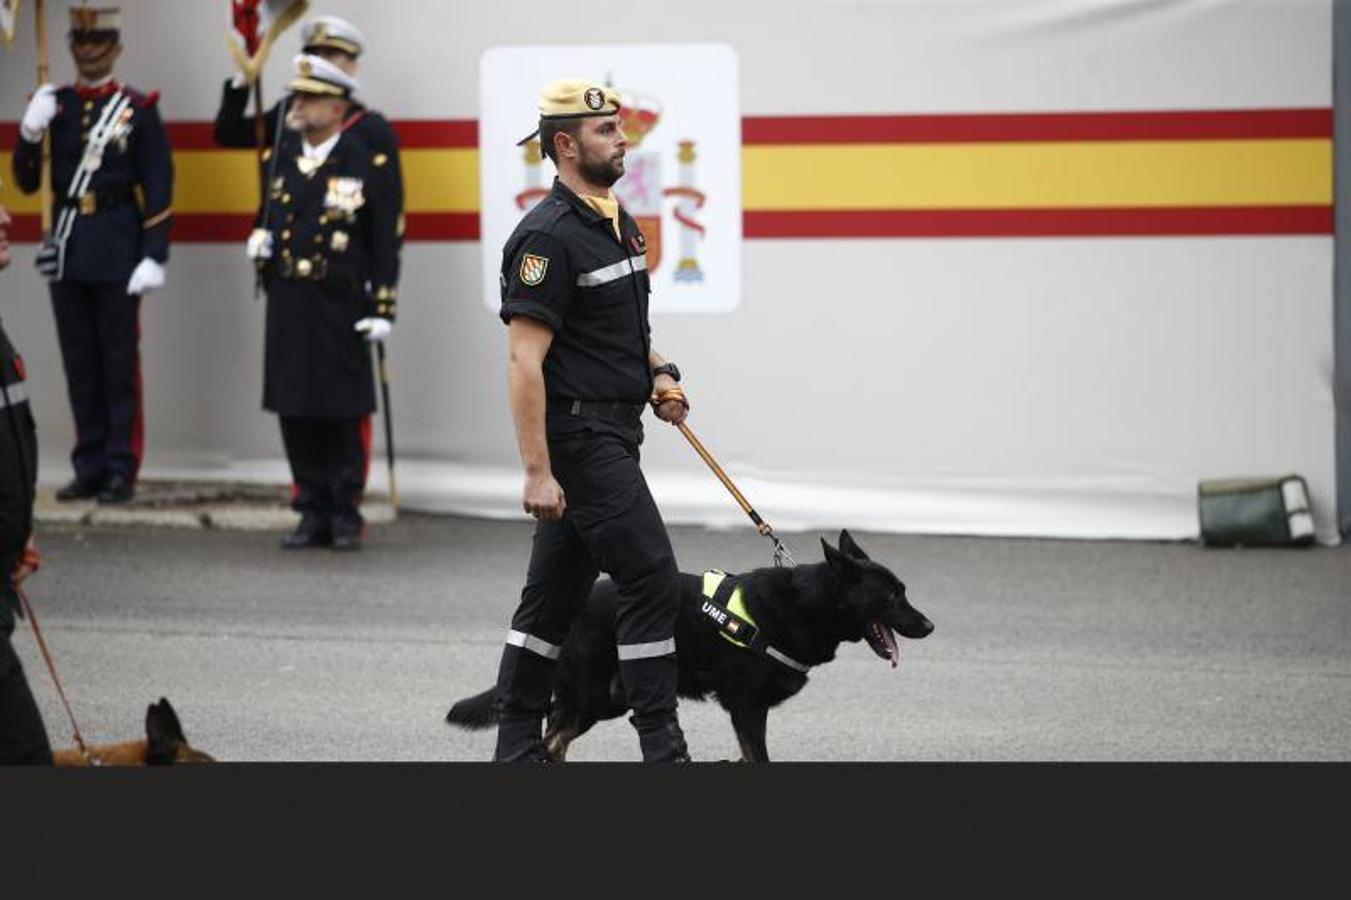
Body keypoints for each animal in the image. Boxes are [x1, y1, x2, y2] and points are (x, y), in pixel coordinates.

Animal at [448, 529, 934, 762]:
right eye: (892, 597)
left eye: (903, 591)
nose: (930, 626)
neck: (805, 603)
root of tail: (573, 607)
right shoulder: (747, 709)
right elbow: (758, 758)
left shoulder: (748, 714)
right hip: (590, 697)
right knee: (550, 743)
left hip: (605, 702)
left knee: (554, 739)